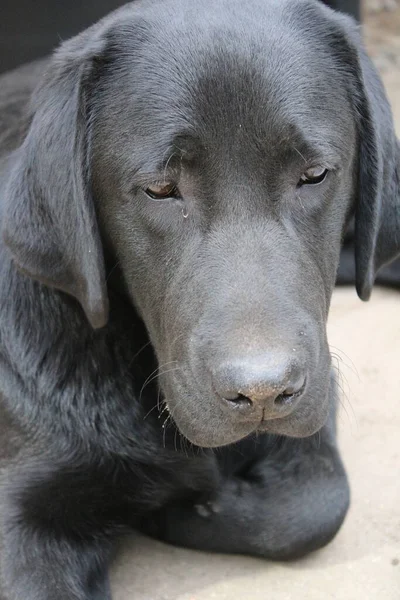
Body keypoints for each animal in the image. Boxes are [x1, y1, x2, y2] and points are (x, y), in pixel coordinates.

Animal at [0, 1, 398, 600]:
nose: (263, 392)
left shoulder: (318, 397)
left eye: (314, 175)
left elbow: (316, 506)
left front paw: (182, 507)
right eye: (161, 190)